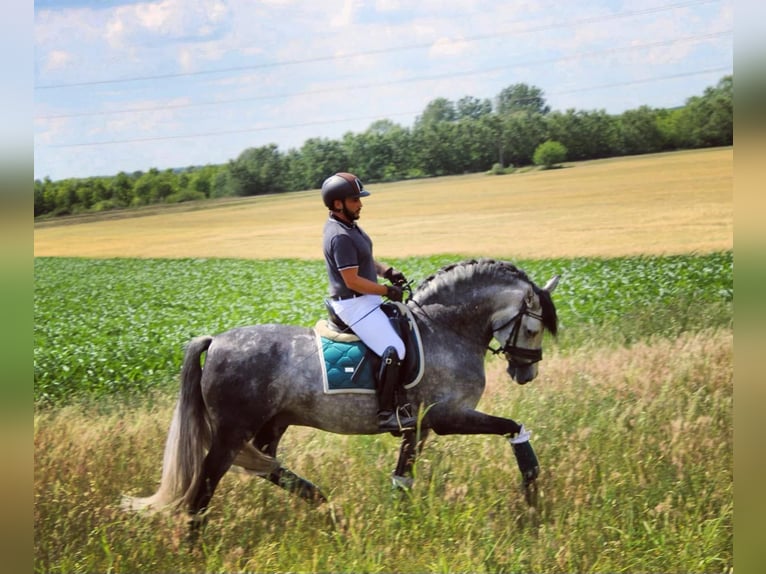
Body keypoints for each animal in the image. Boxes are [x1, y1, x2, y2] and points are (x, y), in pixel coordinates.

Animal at [123, 258, 560, 536]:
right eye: (533, 329)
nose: (527, 373)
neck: (445, 329)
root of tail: (214, 342)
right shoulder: (447, 416)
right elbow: (513, 428)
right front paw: (533, 494)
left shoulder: (417, 427)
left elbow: (403, 477)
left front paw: (401, 524)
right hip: (232, 432)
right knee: (204, 490)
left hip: (274, 422)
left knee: (268, 466)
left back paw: (327, 507)